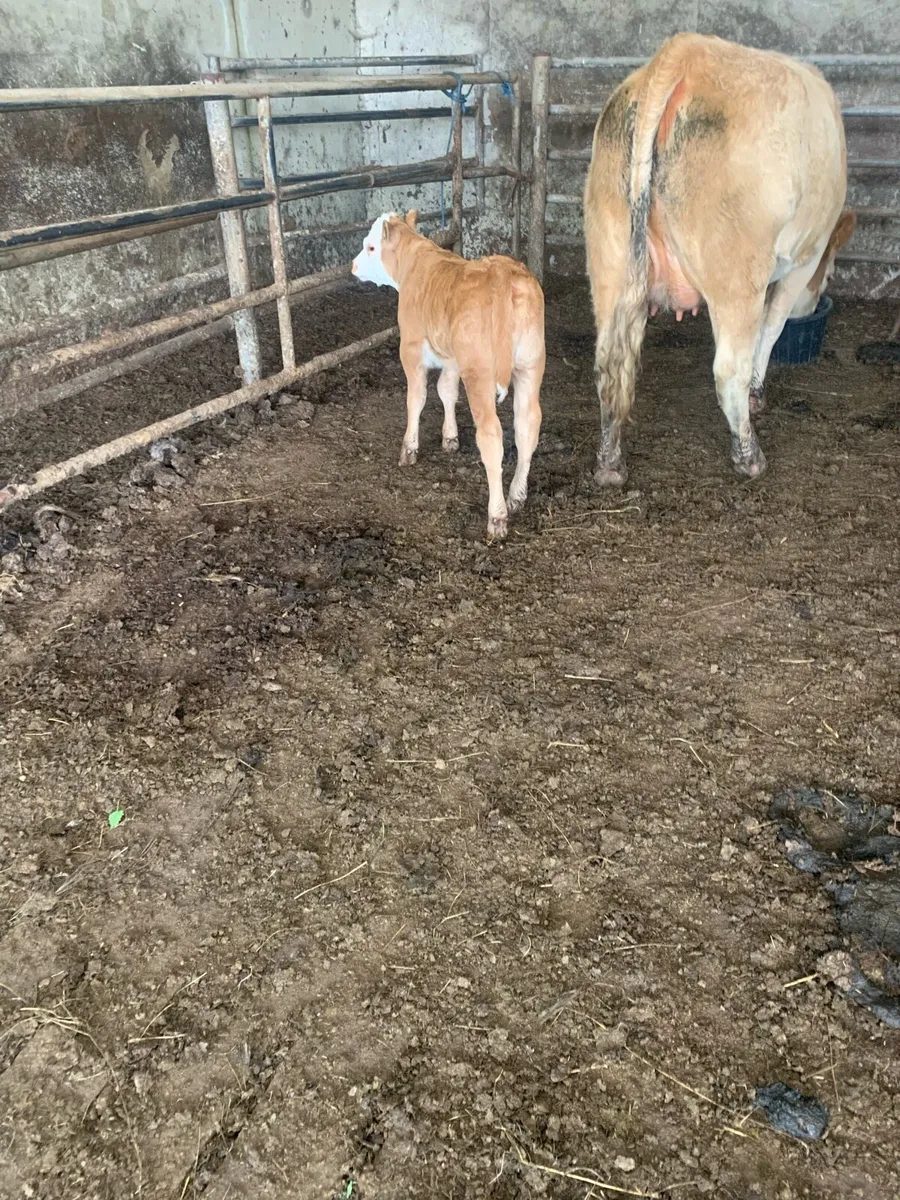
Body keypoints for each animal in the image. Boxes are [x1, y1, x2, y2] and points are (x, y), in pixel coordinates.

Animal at [352, 211, 545, 540]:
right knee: (527, 427)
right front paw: (450, 437)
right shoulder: (453, 358)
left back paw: (497, 516)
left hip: (480, 373)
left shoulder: (411, 348)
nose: (352, 266)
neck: (415, 260)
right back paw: (517, 495)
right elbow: (446, 391)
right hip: (531, 366)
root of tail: (501, 270)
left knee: (491, 436)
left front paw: (409, 449)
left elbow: (416, 398)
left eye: (370, 247)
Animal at [584, 33, 850, 486]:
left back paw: (609, 464)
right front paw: (759, 392)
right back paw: (749, 456)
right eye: (829, 276)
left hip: (609, 255)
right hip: (735, 269)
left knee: (608, 364)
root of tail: (685, 52)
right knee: (728, 371)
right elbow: (772, 326)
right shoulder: (803, 258)